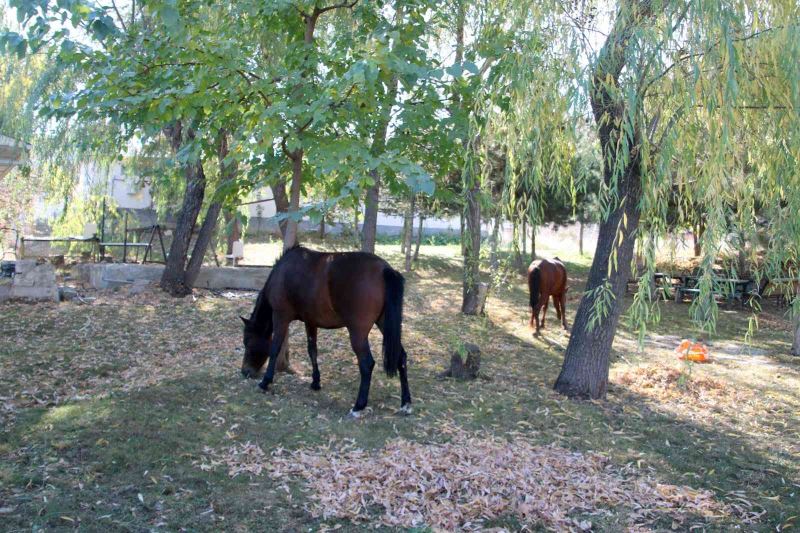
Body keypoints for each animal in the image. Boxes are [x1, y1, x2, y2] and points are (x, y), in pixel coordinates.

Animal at [241, 245, 410, 416]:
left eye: (247, 342)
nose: (245, 371)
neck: (282, 272)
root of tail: (385, 269)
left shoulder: (280, 316)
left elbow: (275, 348)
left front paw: (265, 381)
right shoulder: (310, 322)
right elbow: (312, 351)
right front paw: (315, 382)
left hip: (358, 332)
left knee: (367, 364)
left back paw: (358, 406)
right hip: (384, 323)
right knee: (401, 357)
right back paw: (406, 403)